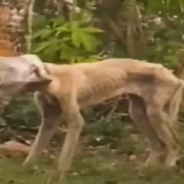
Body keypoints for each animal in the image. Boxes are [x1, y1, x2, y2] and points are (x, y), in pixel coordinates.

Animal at [20, 57, 183, 178]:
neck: (55, 78)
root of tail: (174, 76)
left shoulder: (74, 120)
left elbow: (66, 153)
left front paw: (59, 175)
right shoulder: (49, 120)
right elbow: (36, 147)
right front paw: (26, 169)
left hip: (155, 113)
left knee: (174, 143)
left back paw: (167, 168)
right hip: (138, 113)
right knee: (157, 145)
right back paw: (147, 170)